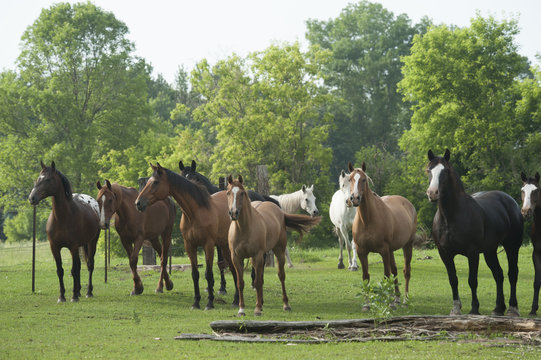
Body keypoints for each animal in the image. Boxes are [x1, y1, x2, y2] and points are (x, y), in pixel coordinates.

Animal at [28, 162, 101, 302]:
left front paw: (73, 296)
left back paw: (88, 292)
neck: (62, 218)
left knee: (90, 265)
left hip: (92, 242)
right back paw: (79, 291)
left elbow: (74, 269)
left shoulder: (73, 247)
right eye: (38, 178)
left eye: (48, 179)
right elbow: (60, 270)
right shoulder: (55, 247)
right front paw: (62, 296)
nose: (32, 198)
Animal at [134, 163, 237, 310]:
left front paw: (210, 303)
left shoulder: (208, 245)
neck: (195, 213)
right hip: (224, 246)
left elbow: (208, 274)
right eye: (148, 181)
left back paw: (236, 300)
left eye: (155, 182)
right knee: (232, 268)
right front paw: (196, 302)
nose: (138, 203)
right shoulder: (190, 245)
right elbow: (195, 274)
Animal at [225, 176, 320, 316]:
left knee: (281, 276)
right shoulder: (236, 258)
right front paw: (241, 309)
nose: (233, 213)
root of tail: (278, 210)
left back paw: (286, 304)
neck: (243, 229)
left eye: (242, 193)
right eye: (228, 193)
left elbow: (258, 281)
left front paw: (257, 309)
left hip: (278, 251)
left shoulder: (257, 256)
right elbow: (240, 282)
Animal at [346, 161, 418, 310]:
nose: (355, 198)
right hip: (391, 251)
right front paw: (367, 305)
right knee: (395, 271)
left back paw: (404, 300)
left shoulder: (384, 251)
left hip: (407, 246)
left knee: (406, 272)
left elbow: (386, 275)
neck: (367, 220)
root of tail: (408, 204)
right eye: (350, 179)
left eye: (364, 179)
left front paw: (388, 303)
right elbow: (366, 277)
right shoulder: (362, 252)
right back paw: (396, 298)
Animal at [426, 149, 524, 316]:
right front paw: (456, 308)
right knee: (498, 274)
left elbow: (472, 280)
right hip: (490, 251)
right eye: (429, 170)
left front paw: (474, 309)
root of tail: (509, 200)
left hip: (512, 247)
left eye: (445, 171)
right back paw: (498, 308)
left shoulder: (472, 253)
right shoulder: (445, 254)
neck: (450, 217)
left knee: (512, 274)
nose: (432, 193)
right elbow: (453, 279)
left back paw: (512, 308)